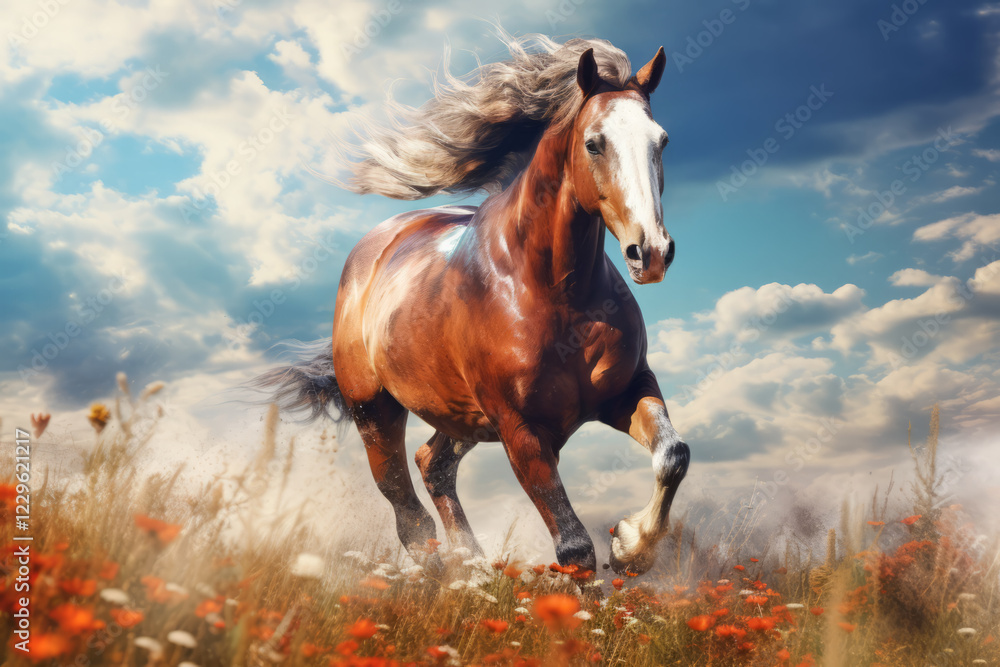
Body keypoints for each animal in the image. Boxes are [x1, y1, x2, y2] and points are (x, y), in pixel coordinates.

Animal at [254, 33, 689, 576]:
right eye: (594, 143)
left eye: (662, 141)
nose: (650, 252)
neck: (557, 292)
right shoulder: (520, 428)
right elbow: (574, 547)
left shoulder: (626, 390)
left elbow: (673, 454)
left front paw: (632, 545)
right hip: (374, 413)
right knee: (406, 509)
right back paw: (453, 576)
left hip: (460, 418)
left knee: (432, 466)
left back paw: (474, 567)